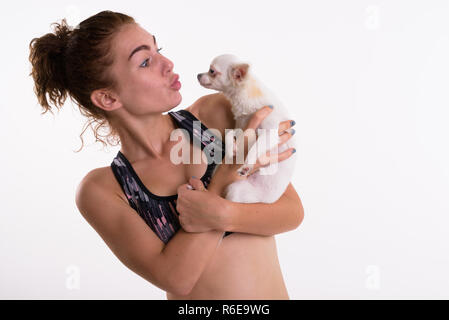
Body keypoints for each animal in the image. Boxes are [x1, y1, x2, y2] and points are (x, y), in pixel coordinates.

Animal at [195, 52, 294, 202]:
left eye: (212, 71)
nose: (198, 75)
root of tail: (267, 201)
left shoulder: (271, 132)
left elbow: (255, 147)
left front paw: (247, 165)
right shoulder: (241, 127)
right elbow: (230, 133)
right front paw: (232, 148)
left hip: (238, 190)